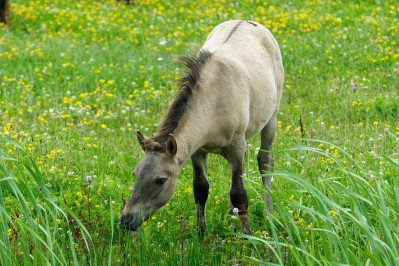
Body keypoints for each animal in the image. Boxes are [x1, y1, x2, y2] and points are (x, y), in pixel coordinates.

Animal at [119, 19, 284, 235]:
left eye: (161, 179)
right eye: (135, 173)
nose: (126, 220)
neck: (212, 103)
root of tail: (248, 21)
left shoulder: (237, 145)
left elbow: (239, 194)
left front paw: (248, 236)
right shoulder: (196, 150)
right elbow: (200, 189)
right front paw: (200, 233)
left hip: (271, 118)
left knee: (265, 161)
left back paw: (269, 214)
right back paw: (231, 216)